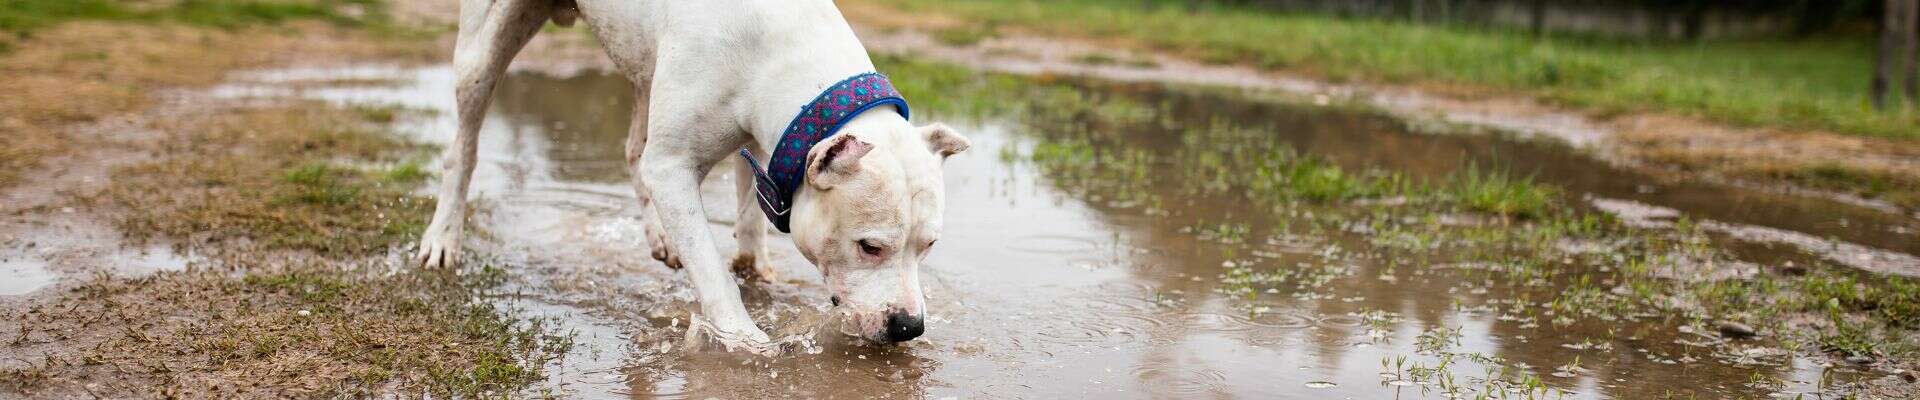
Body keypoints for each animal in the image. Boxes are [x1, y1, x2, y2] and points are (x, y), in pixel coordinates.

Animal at [412, 0, 967, 346]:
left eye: (929, 246)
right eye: (869, 247)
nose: (909, 327)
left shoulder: (761, 140)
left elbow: (749, 208)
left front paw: (754, 264)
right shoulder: (674, 165)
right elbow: (711, 269)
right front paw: (744, 339)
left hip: (644, 63)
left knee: (635, 152)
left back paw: (663, 234)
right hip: (483, 51)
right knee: (462, 147)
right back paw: (443, 237)